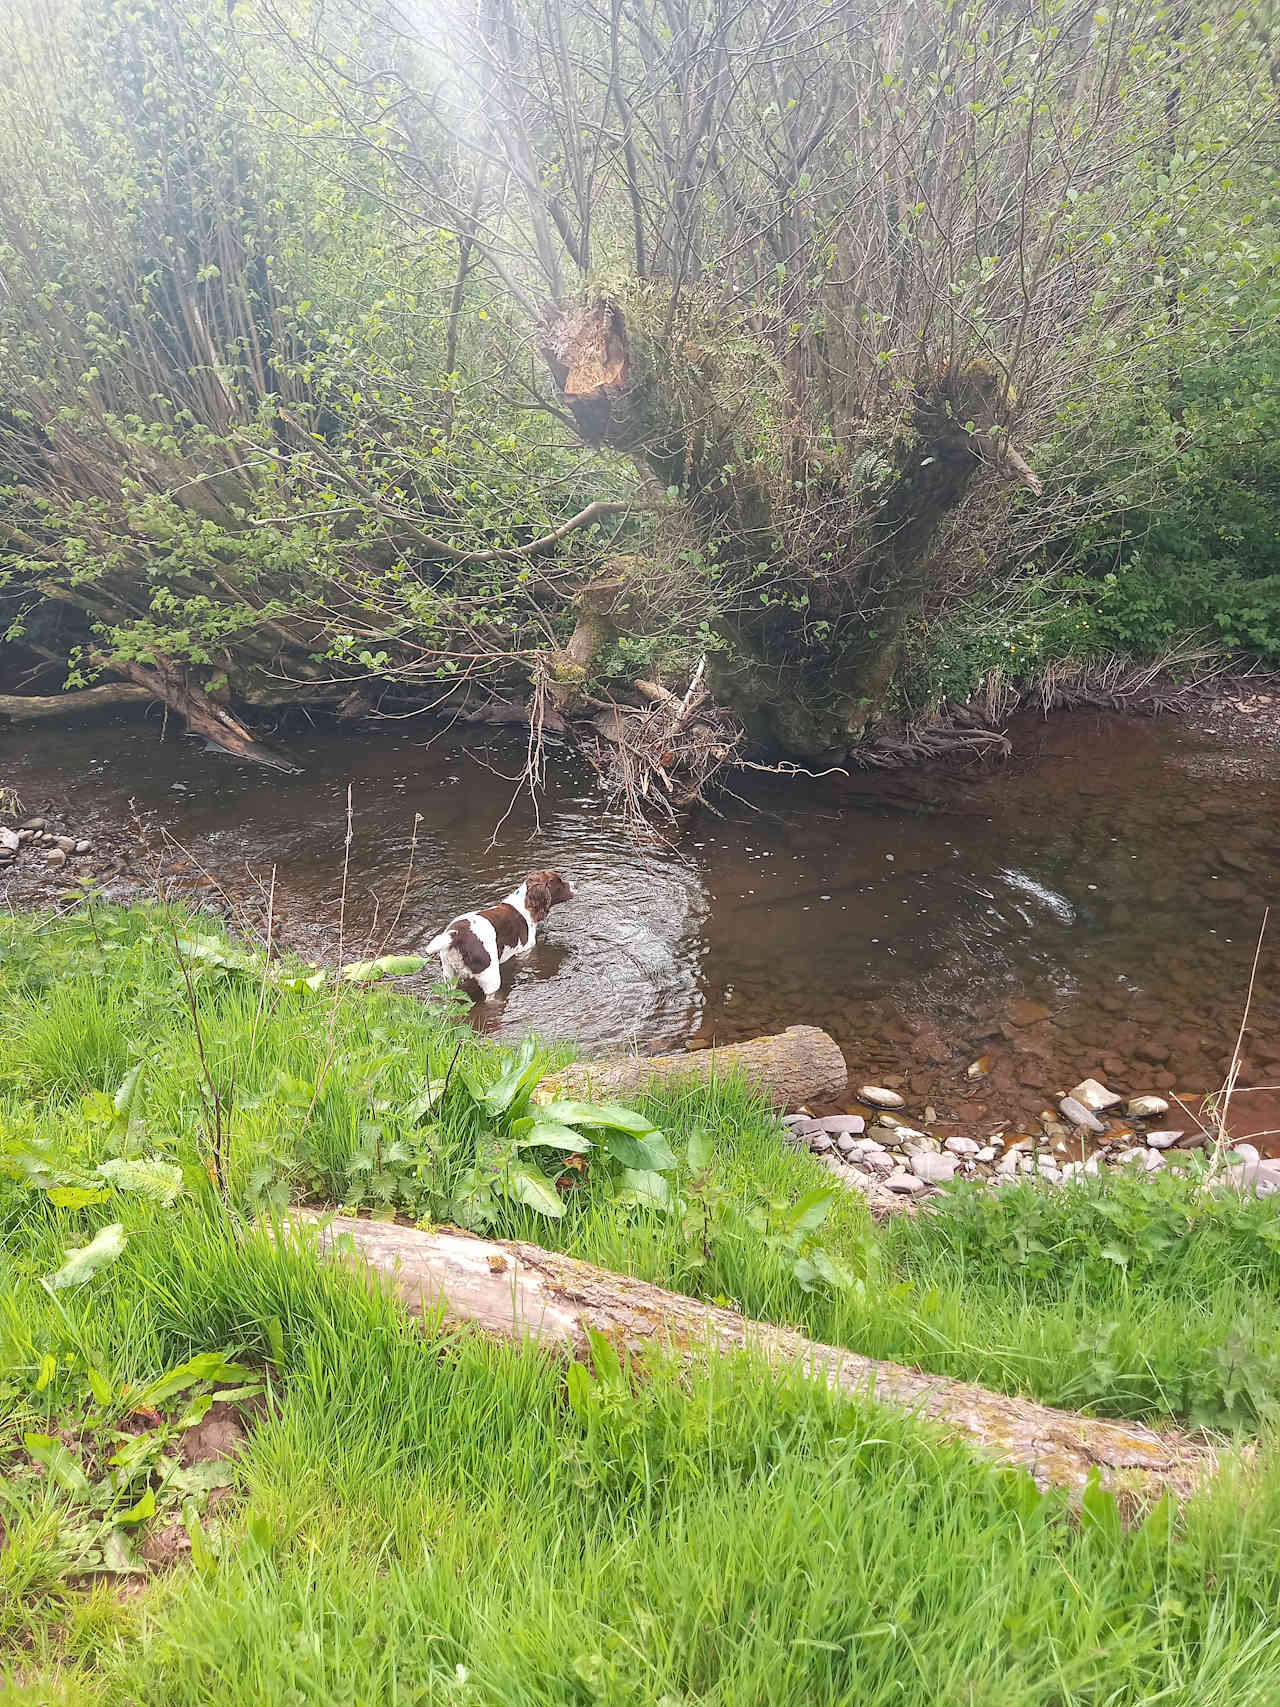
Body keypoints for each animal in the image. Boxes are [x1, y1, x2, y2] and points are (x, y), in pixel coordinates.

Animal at [426, 873, 576, 996]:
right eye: (559, 881)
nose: (576, 884)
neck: (525, 905)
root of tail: (455, 935)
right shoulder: (525, 951)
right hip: (490, 977)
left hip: (449, 975)